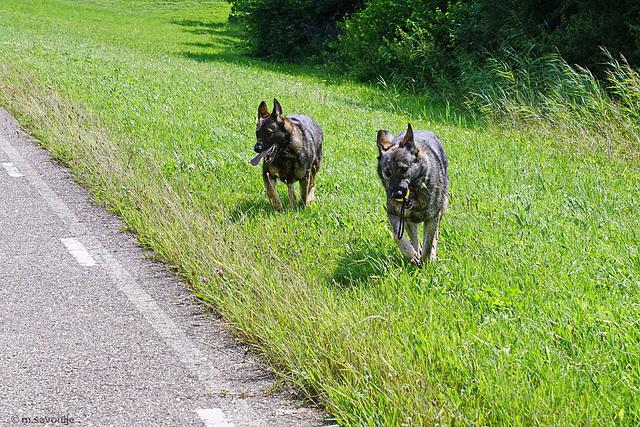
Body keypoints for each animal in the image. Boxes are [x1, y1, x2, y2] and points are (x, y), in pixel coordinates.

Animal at [378, 123, 448, 264]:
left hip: (442, 207)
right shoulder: (395, 214)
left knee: (435, 236)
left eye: (404, 169)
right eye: (387, 173)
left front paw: (425, 262)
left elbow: (429, 244)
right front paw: (410, 254)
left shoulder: (432, 218)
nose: (397, 194)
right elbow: (398, 236)